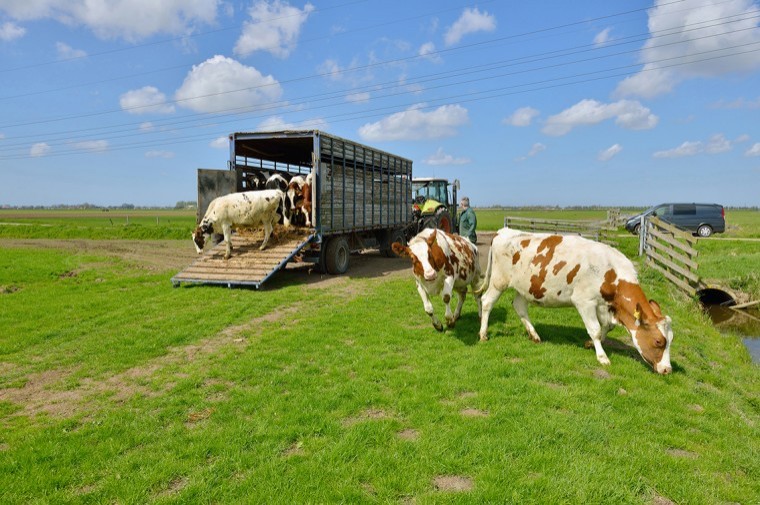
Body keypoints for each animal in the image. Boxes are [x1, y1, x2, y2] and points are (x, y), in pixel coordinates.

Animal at [478, 226, 672, 372]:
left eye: (671, 340)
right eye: (658, 341)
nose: (667, 370)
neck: (610, 270)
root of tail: (502, 231)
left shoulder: (603, 305)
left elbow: (606, 327)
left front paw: (591, 344)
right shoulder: (584, 301)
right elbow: (595, 329)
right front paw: (602, 356)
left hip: (526, 287)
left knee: (519, 306)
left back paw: (534, 335)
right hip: (499, 281)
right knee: (486, 301)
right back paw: (483, 334)